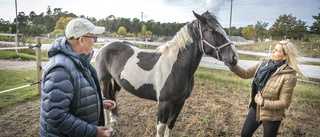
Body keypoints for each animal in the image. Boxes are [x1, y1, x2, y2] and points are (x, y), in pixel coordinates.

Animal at [95, 10, 238, 136]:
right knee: (105, 101)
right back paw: (108, 128)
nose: (234, 57)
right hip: (104, 81)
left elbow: (171, 124)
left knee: (113, 98)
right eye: (213, 31)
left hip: (117, 82)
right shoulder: (164, 104)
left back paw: (114, 121)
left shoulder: (179, 102)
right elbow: (161, 128)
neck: (176, 67)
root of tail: (103, 48)